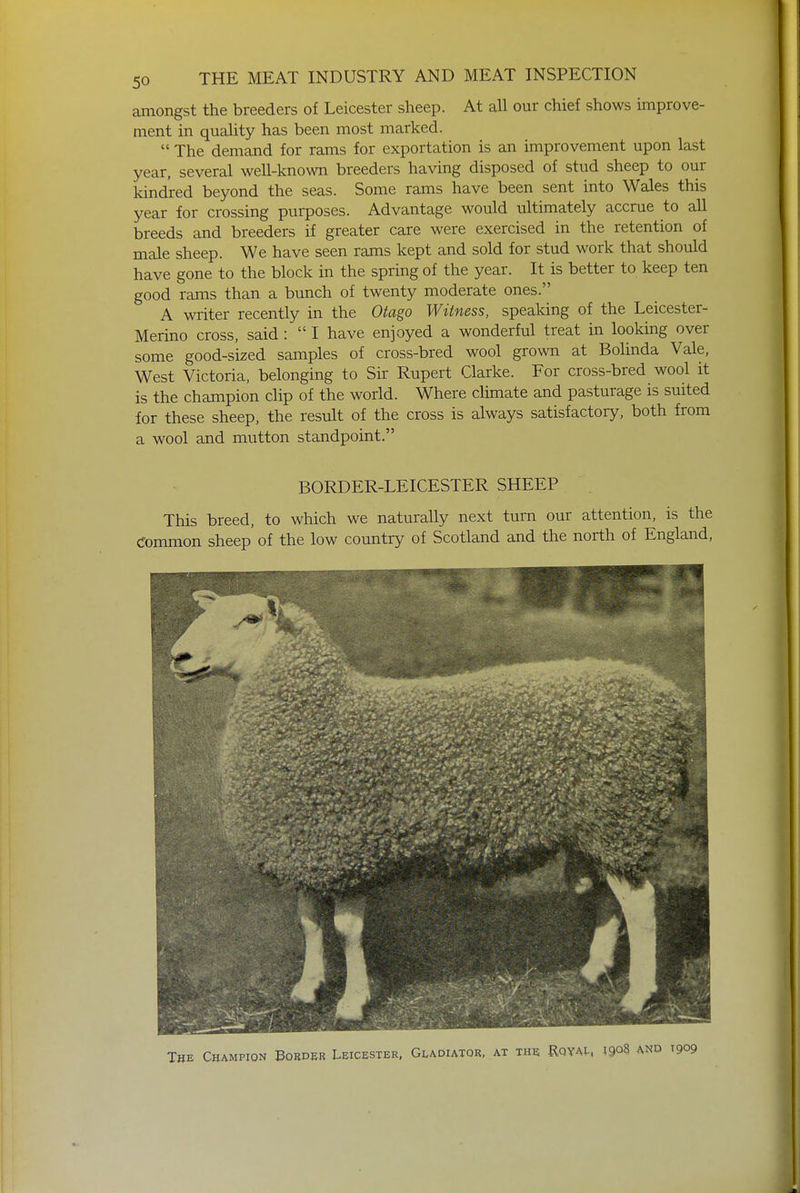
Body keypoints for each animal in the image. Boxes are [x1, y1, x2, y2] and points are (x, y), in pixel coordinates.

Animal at [170, 588, 693, 1023]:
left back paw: (638, 996)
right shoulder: (310, 851)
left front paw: (352, 1002)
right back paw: (595, 969)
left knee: (642, 906)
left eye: (251, 618)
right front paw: (306, 988)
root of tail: (672, 700)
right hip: (600, 827)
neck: (321, 712)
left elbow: (346, 930)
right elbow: (309, 924)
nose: (179, 656)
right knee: (608, 897)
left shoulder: (350, 850)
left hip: (623, 812)